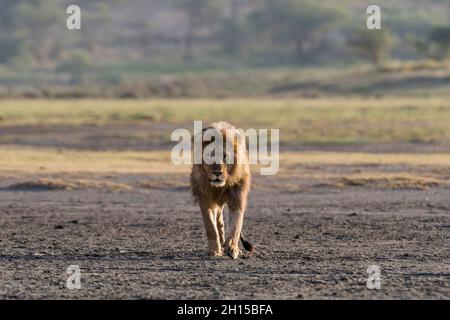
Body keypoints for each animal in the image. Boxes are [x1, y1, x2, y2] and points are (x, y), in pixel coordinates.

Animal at [190, 121, 255, 258]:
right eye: (209, 155)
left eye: (225, 157)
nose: (217, 173)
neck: (220, 187)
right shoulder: (206, 200)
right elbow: (211, 227)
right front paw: (214, 250)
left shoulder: (237, 199)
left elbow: (235, 226)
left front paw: (233, 249)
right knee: (219, 221)